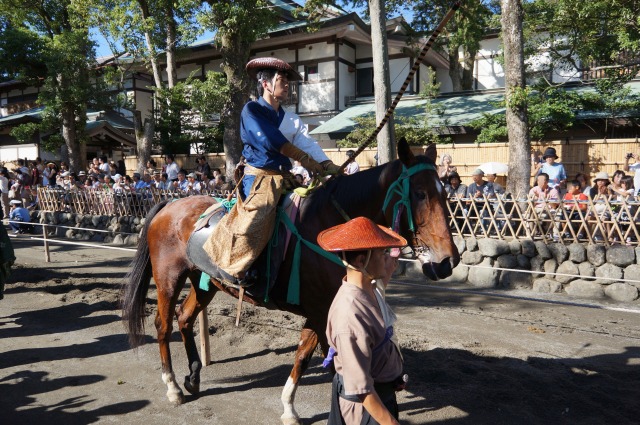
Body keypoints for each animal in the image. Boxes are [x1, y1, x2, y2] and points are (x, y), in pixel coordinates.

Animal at [121, 137, 460, 422]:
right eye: (420, 194)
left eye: (445, 193)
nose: (448, 261)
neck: (333, 229)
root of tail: (170, 205)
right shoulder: (321, 309)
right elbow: (318, 359)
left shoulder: (325, 310)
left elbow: (311, 355)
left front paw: (291, 406)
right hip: (169, 278)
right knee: (163, 324)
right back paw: (173, 386)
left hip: (205, 282)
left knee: (185, 317)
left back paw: (192, 377)